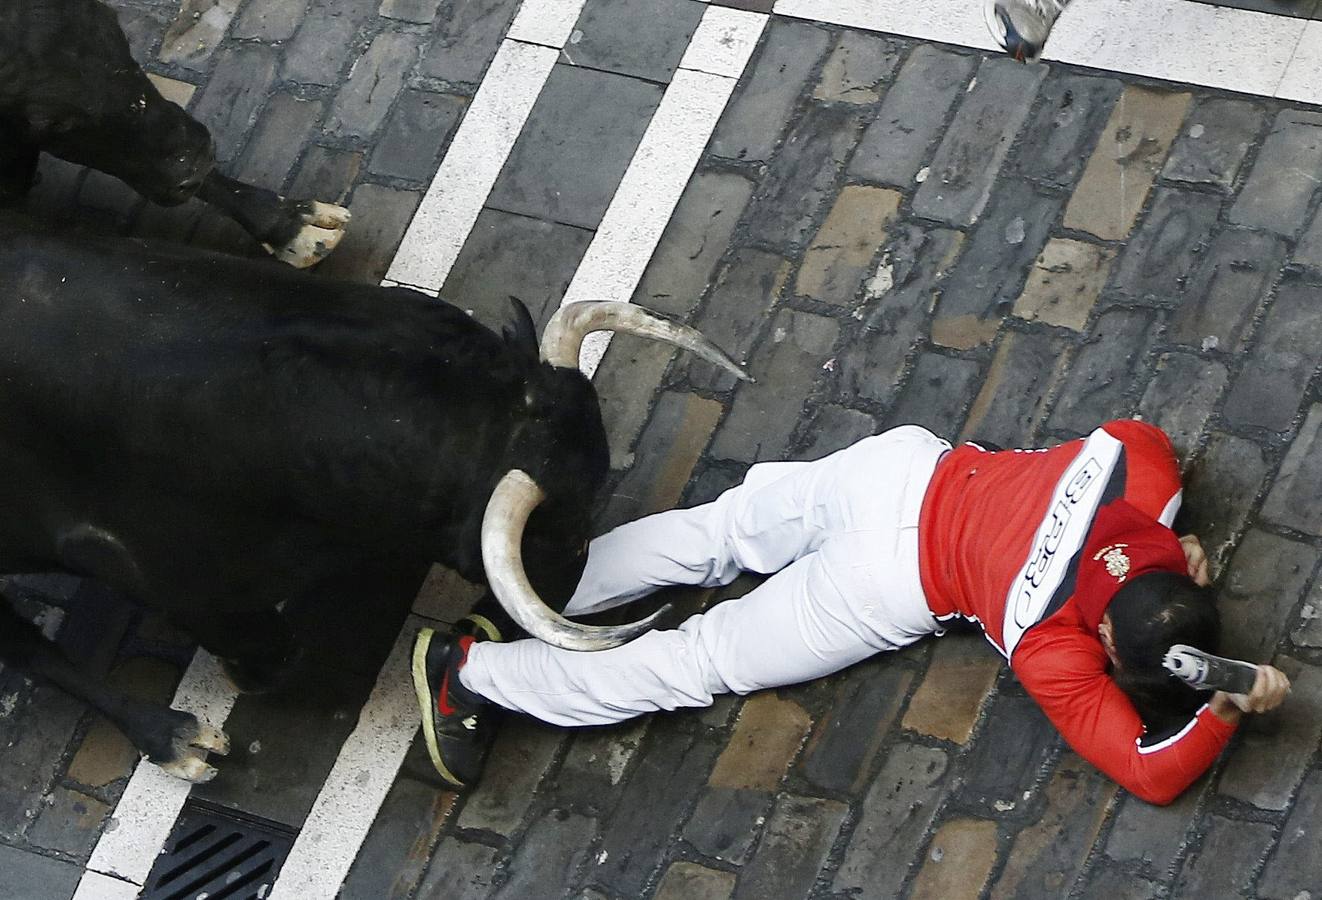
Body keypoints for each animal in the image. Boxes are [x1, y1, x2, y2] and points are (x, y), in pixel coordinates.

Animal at [0, 220, 750, 782]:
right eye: (551, 524)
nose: (565, 588)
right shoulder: (169, 577)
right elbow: (265, 646)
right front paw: (245, 682)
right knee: (31, 649)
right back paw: (176, 739)